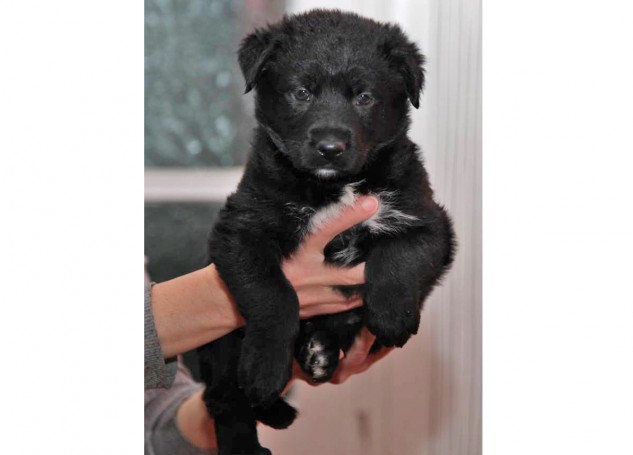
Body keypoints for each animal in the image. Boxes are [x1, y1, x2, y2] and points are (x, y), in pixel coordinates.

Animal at [197, 10, 456, 455]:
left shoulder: (429, 219)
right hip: (222, 345)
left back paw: (320, 352)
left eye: (364, 97)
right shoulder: (240, 231)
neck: (332, 187)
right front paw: (265, 366)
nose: (330, 148)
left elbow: (399, 258)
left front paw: (391, 316)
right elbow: (273, 294)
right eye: (301, 92)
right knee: (224, 398)